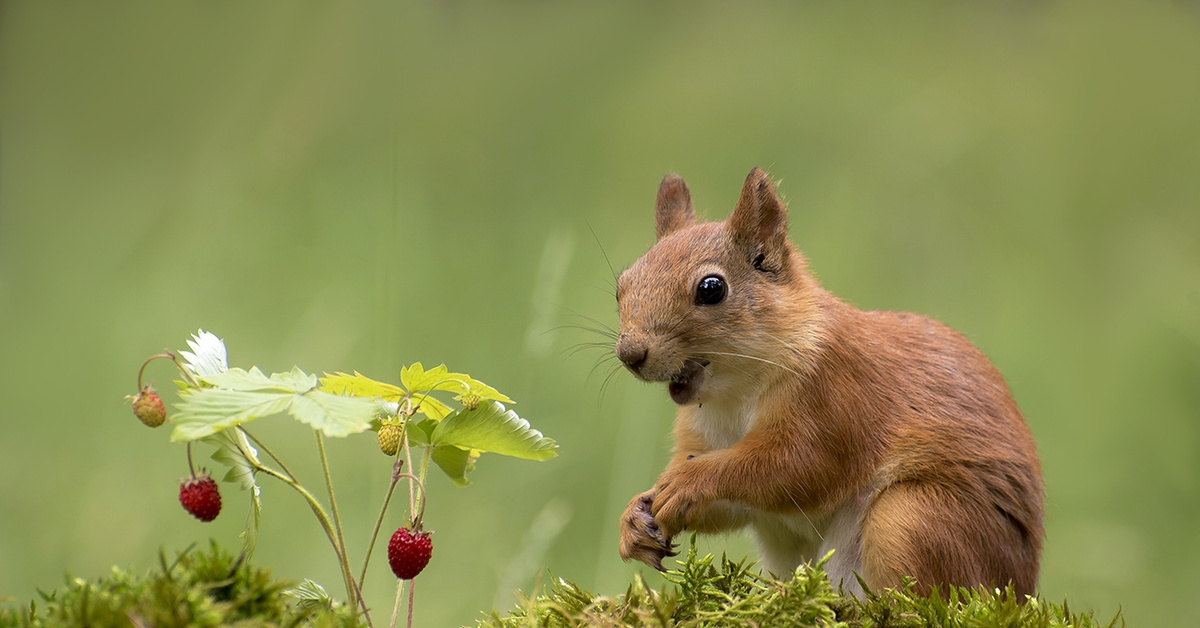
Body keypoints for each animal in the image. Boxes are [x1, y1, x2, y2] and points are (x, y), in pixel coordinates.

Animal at [619, 169, 1041, 597]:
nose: (630, 354)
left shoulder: (834, 397)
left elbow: (795, 467)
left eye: (711, 288)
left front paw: (688, 481)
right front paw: (634, 517)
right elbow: (734, 506)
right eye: (623, 282)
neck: (734, 393)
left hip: (912, 518)